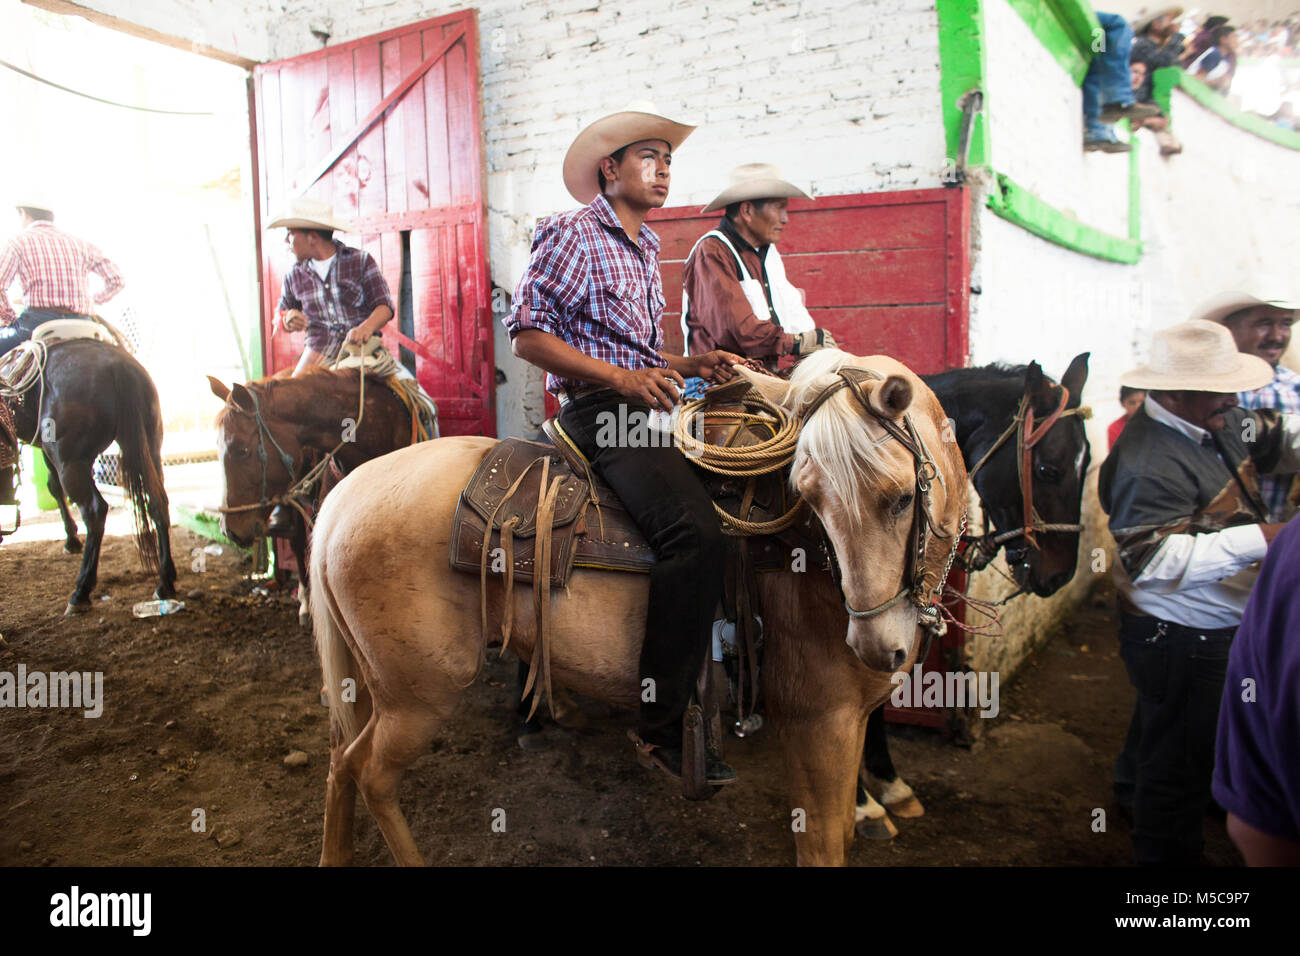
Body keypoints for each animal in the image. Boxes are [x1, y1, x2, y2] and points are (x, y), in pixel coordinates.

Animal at [1, 340, 176, 613]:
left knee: (95, 511)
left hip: (72, 462)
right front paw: (71, 539)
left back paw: (81, 592)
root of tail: (119, 365)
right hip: (150, 449)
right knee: (158, 503)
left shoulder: (55, 455)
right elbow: (52, 485)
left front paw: (72, 540)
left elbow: (54, 487)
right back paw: (165, 582)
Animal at [312, 351, 967, 868]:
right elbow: (824, 847)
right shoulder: (819, 723)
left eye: (900, 498)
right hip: (418, 695)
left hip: (375, 686)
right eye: (807, 496)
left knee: (340, 761)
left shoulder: (850, 721)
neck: (802, 554)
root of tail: (341, 498)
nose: (877, 646)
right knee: (370, 774)